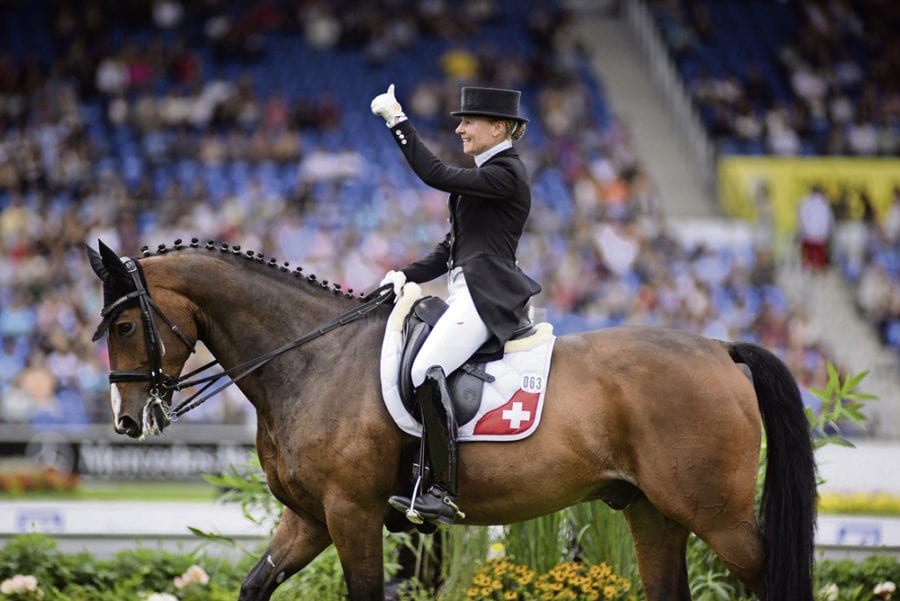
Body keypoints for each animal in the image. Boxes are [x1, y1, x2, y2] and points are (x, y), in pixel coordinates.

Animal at [89, 239, 816, 600]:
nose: (126, 421)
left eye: (123, 325)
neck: (310, 356)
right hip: (652, 511)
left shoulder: (351, 512)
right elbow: (253, 585)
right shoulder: (311, 517)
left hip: (716, 513)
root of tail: (720, 347)